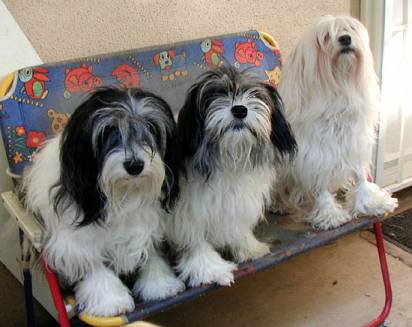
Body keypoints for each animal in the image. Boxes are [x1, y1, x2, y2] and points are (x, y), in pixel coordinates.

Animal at [22, 88, 183, 318]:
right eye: (109, 130)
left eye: (151, 127)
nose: (135, 165)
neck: (123, 195)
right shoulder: (76, 240)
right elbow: (94, 265)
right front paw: (110, 300)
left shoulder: (150, 226)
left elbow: (151, 253)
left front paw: (160, 285)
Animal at [167, 66, 296, 288]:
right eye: (216, 94)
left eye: (253, 94)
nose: (240, 110)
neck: (228, 161)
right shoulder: (188, 211)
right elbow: (194, 239)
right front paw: (209, 268)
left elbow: (237, 226)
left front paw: (248, 247)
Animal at [276, 16, 398, 231]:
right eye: (325, 36)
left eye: (350, 29)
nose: (345, 39)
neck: (340, 91)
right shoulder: (316, 153)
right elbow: (320, 184)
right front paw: (329, 214)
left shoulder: (356, 145)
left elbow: (360, 177)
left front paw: (371, 202)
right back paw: (282, 204)